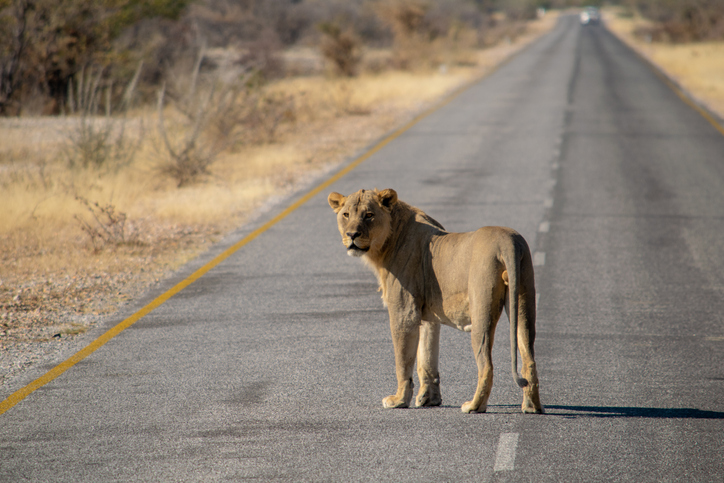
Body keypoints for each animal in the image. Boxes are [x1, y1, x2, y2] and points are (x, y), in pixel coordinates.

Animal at [328, 187, 544, 414]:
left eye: (369, 215)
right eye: (346, 215)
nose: (351, 235)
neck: (389, 241)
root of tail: (509, 241)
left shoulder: (404, 312)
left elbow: (403, 361)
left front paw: (399, 400)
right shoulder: (427, 317)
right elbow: (427, 358)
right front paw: (429, 399)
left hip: (481, 310)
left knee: (486, 364)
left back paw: (473, 406)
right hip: (524, 298)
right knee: (529, 356)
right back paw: (531, 407)